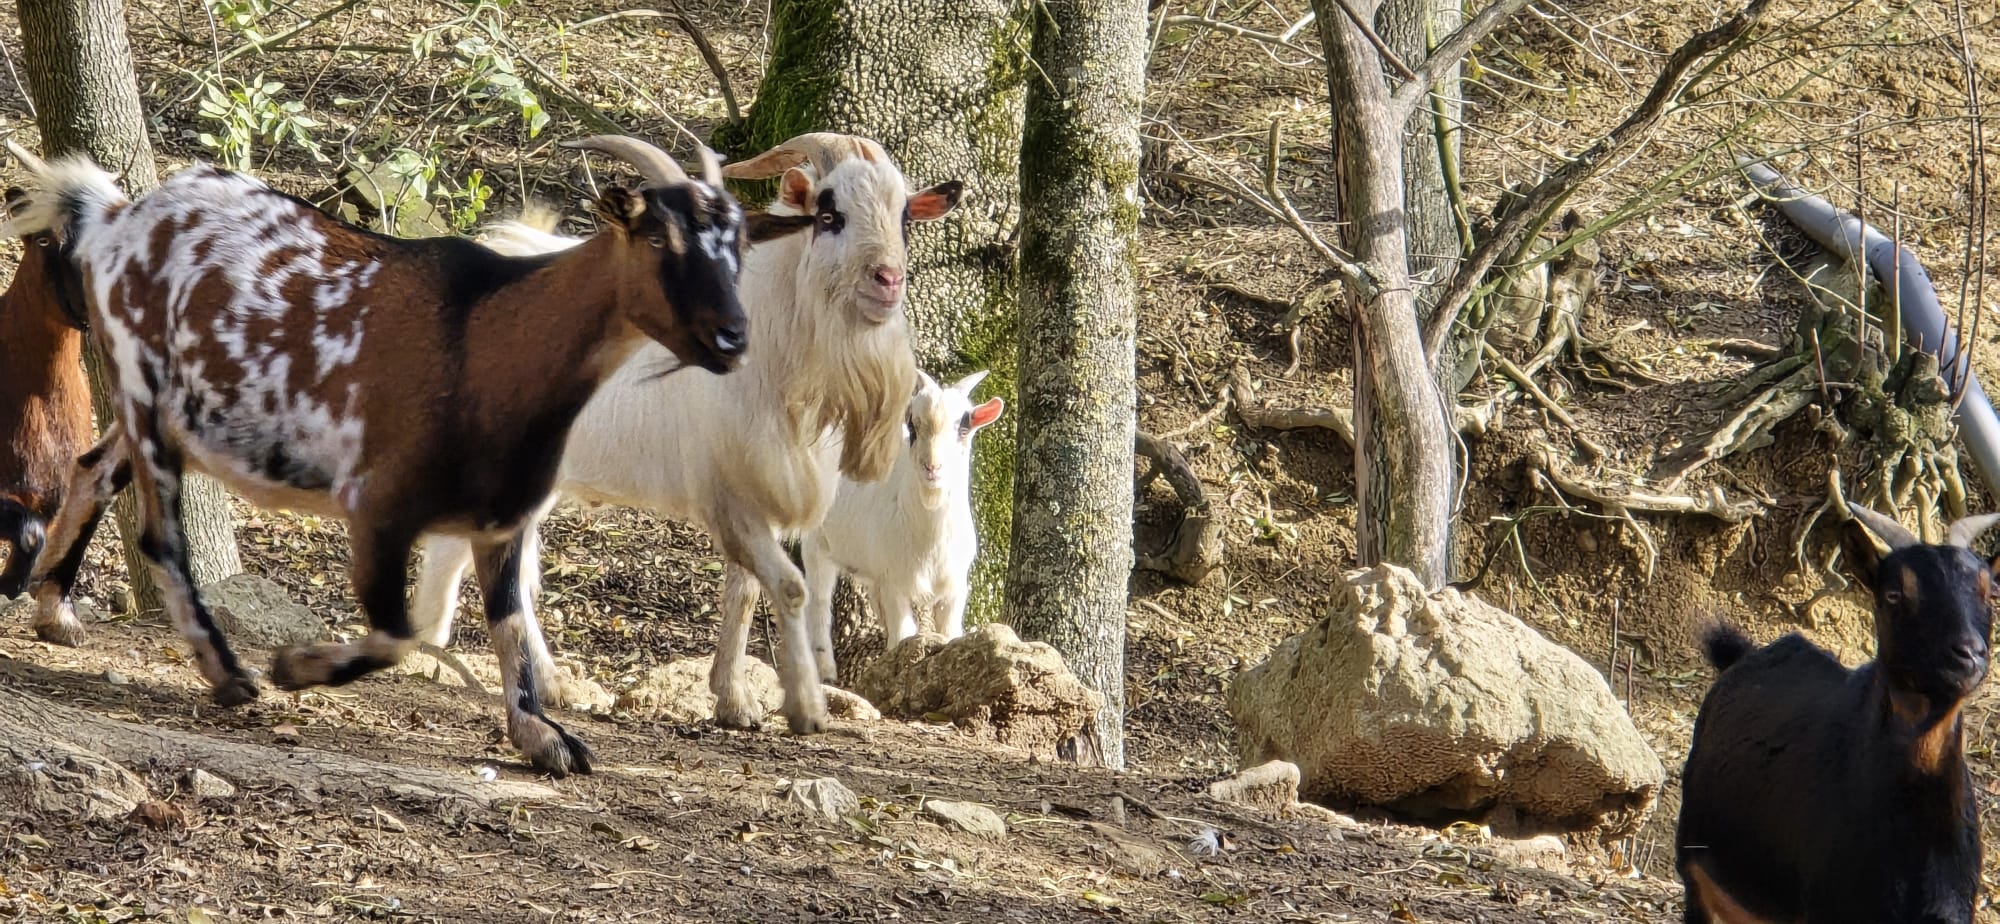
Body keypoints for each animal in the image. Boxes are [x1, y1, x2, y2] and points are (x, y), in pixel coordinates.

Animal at [3, 136, 808, 776]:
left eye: (740, 246)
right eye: (657, 239)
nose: (732, 338)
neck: (489, 338)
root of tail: (114, 217)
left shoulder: (502, 520)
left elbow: (509, 623)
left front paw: (543, 738)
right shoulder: (379, 510)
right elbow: (399, 635)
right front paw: (294, 666)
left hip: (169, 417)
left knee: (93, 470)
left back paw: (55, 612)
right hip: (140, 385)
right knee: (160, 536)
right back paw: (226, 672)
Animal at [410, 132, 962, 734]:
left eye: (904, 216)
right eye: (829, 215)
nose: (888, 280)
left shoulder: (752, 494)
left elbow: (743, 591)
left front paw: (734, 702)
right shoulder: (731, 496)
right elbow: (789, 586)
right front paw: (805, 708)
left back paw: (541, 679)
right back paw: (434, 650)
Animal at [800, 369, 1003, 680]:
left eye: (964, 427)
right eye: (912, 425)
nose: (932, 468)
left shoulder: (954, 586)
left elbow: (950, 634)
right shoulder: (895, 585)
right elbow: (902, 637)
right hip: (816, 543)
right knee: (818, 602)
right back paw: (825, 672)